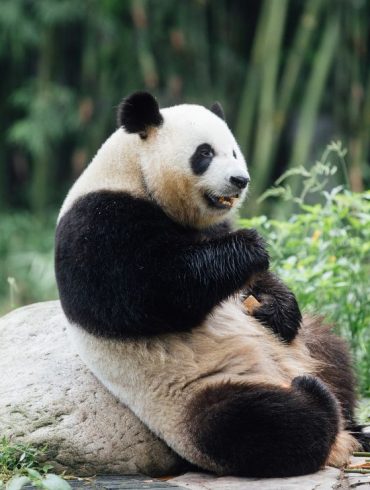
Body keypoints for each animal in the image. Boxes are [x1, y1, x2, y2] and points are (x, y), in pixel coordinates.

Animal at [55, 92, 362, 478]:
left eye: (234, 151)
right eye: (204, 153)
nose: (240, 180)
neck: (134, 173)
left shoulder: (213, 224)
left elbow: (257, 284)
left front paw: (277, 308)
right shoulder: (96, 225)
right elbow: (149, 293)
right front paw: (250, 247)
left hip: (306, 347)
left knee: (334, 353)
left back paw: (353, 424)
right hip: (192, 397)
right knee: (256, 423)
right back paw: (314, 399)